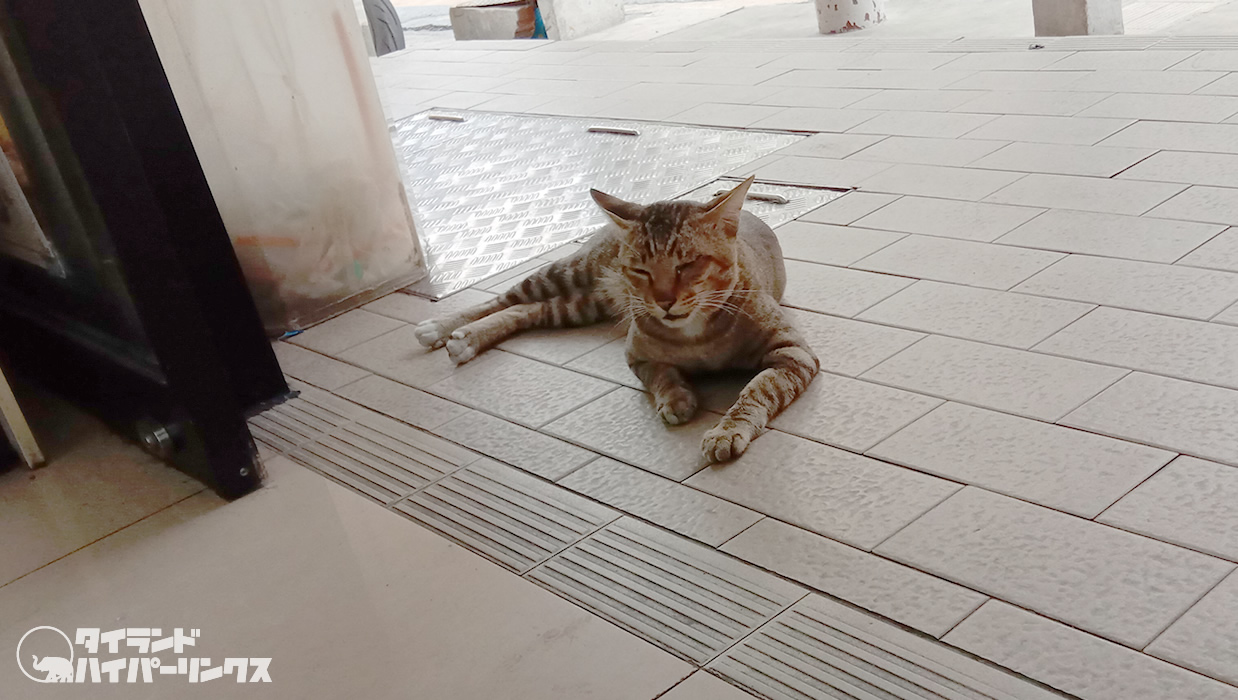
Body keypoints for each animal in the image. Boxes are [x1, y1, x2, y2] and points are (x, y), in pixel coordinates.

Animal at [415, 174, 822, 460]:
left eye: (688, 265)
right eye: (641, 270)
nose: (663, 301)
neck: (697, 334)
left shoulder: (793, 352)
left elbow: (757, 389)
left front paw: (727, 430)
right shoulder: (637, 356)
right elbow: (660, 375)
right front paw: (676, 397)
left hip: (578, 306)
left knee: (524, 310)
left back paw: (466, 338)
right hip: (568, 272)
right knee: (504, 298)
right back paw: (444, 327)